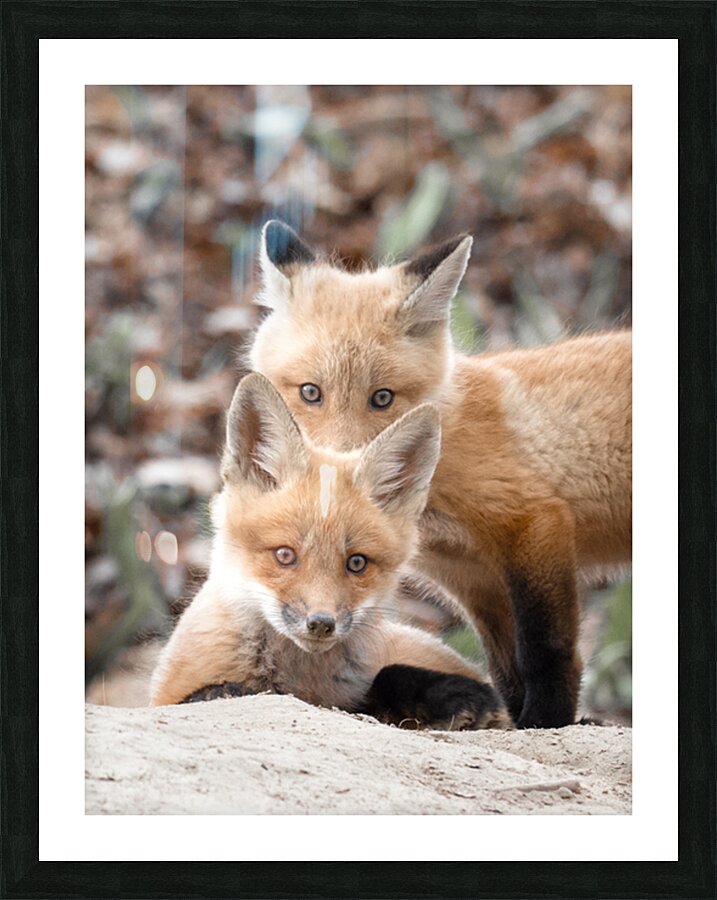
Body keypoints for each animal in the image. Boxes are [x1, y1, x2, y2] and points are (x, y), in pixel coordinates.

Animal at [150, 373, 511, 731]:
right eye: (285, 555)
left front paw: (459, 696)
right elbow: (210, 693)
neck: (299, 677)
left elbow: (385, 677)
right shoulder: (166, 695)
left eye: (357, 563)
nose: (321, 624)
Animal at [247, 220, 632, 729]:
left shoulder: (535, 523)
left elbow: (545, 654)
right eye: (311, 392)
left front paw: (547, 721)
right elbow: (506, 669)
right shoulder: (473, 575)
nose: (339, 473)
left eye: (382, 398)